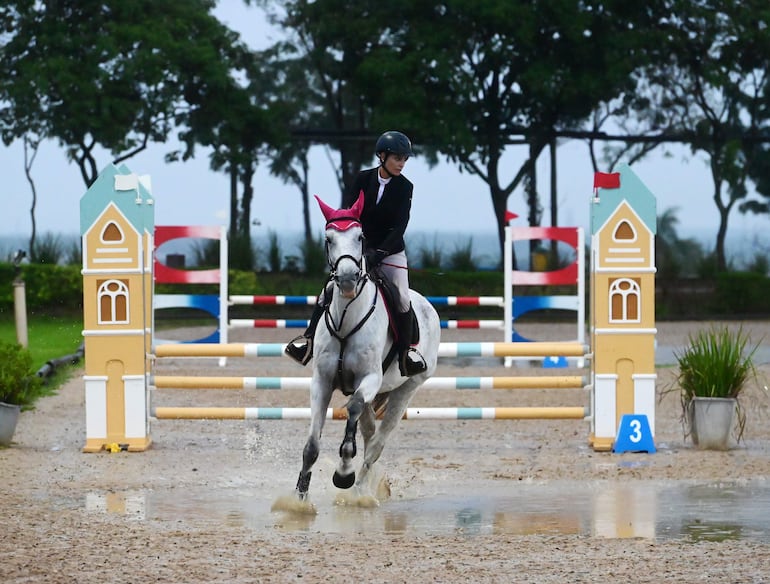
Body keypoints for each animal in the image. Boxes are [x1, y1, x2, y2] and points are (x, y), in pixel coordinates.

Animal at [286, 193, 438, 506]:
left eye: (360, 237)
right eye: (328, 239)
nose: (346, 280)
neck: (347, 318)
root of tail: (427, 305)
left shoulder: (369, 379)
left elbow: (352, 410)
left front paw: (343, 473)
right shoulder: (321, 381)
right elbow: (311, 446)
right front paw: (298, 501)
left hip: (407, 388)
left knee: (377, 443)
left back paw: (358, 493)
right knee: (368, 434)